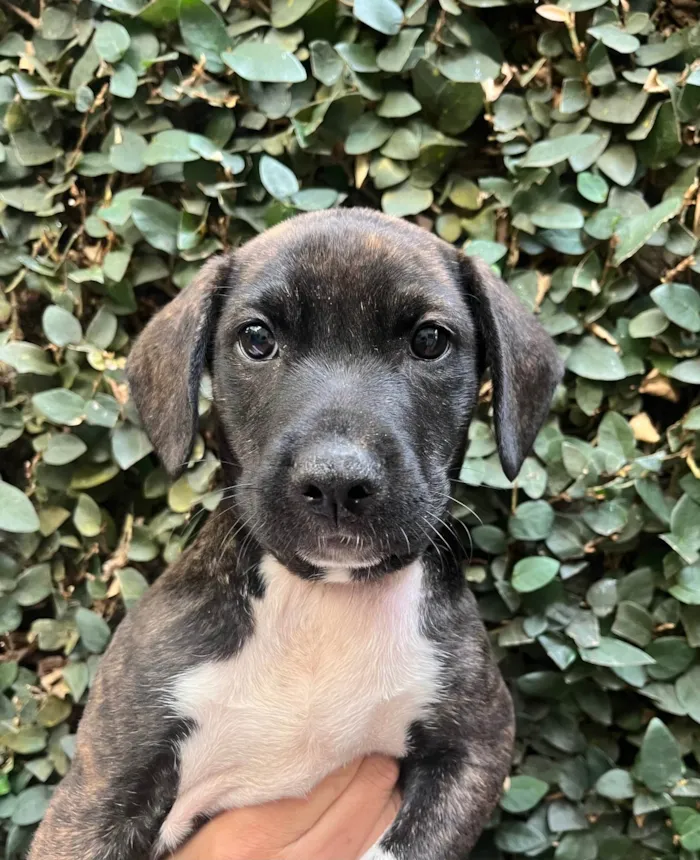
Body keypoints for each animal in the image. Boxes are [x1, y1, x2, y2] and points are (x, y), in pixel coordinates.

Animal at [30, 210, 564, 860]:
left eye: (430, 341)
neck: (323, 596)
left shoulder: (477, 744)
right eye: (257, 339)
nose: (337, 482)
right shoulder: (106, 780)